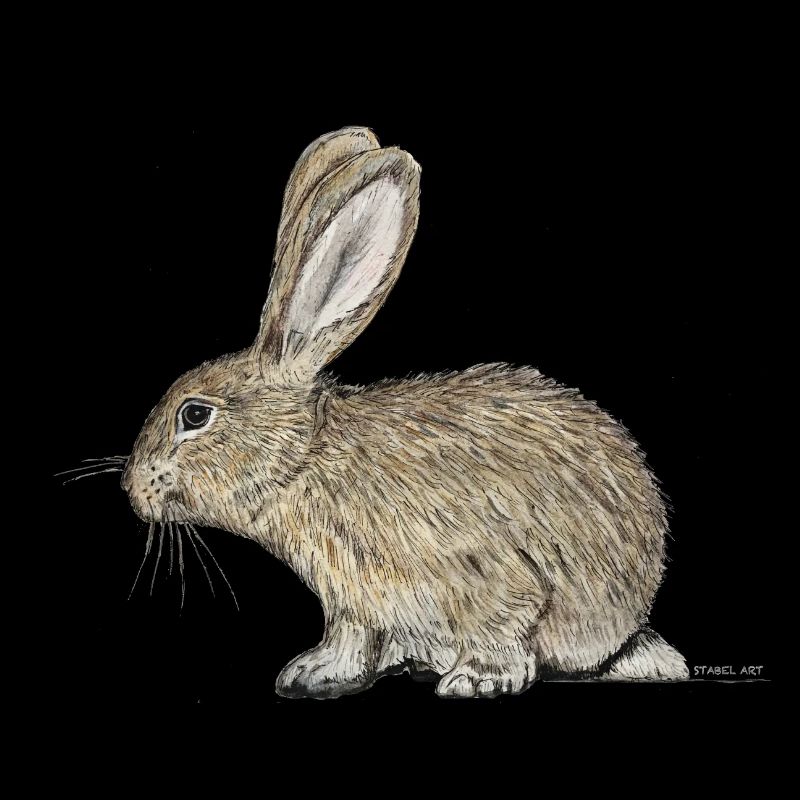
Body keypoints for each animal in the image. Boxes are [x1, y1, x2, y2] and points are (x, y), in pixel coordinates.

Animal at [120, 126, 689, 699]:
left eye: (194, 415)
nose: (133, 490)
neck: (306, 460)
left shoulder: (483, 574)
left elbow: (504, 625)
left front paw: (476, 680)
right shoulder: (353, 604)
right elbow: (351, 639)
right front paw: (314, 673)